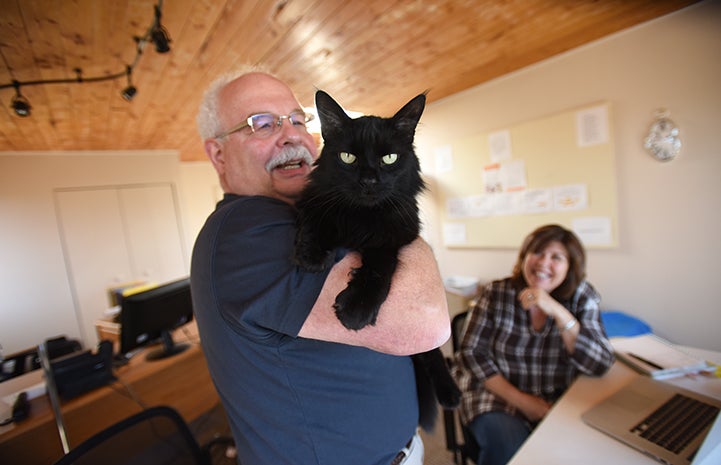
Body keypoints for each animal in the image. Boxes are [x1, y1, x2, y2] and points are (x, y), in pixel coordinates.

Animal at [294, 89, 458, 430]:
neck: (361, 217)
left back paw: (450, 393)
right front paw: (312, 254)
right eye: (348, 158)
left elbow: (379, 268)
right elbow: (315, 218)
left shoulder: (396, 235)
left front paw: (357, 309)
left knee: (432, 352)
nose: (369, 181)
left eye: (389, 158)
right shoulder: (314, 200)